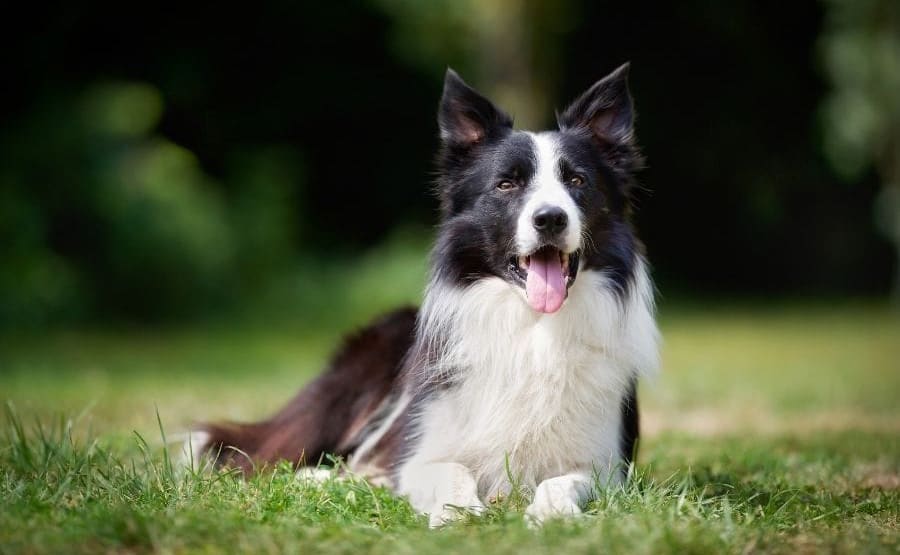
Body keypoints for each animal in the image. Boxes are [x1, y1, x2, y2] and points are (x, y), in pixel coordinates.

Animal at [190, 64, 656, 524]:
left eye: (577, 180)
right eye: (507, 185)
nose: (550, 218)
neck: (532, 327)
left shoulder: (606, 465)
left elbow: (563, 481)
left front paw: (553, 513)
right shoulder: (420, 452)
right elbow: (449, 470)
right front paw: (459, 512)